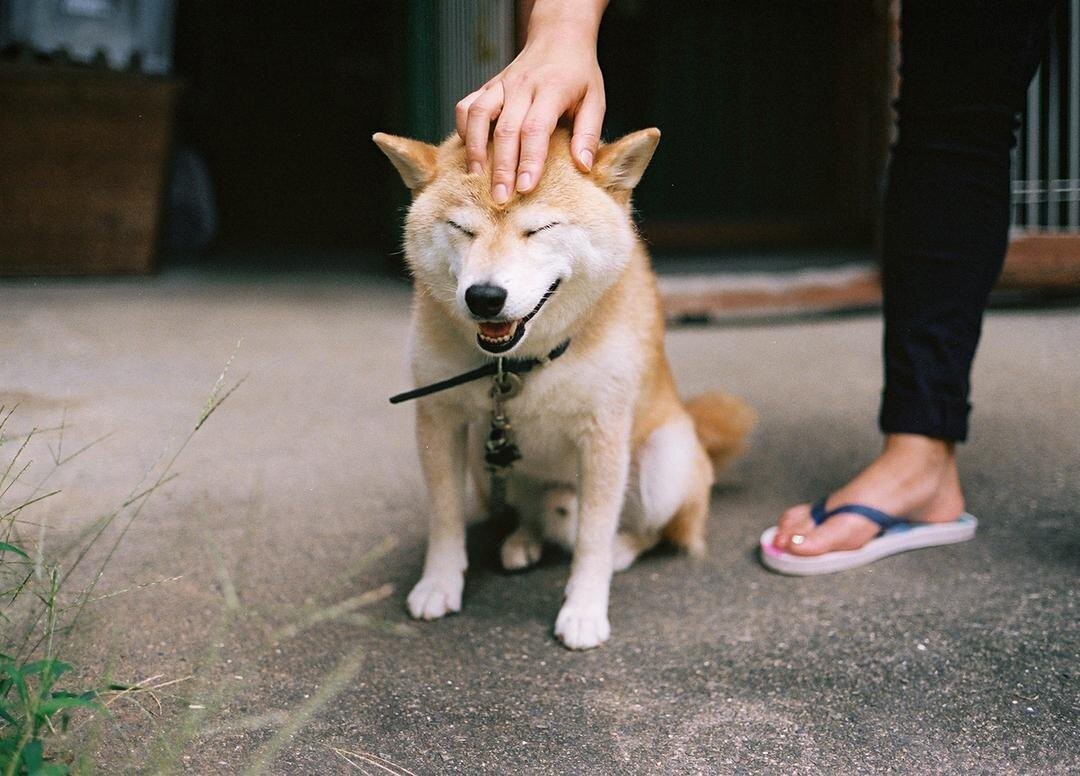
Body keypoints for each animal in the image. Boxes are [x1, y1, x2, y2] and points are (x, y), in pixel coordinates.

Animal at [375, 127, 756, 647]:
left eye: (540, 229)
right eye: (461, 228)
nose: (484, 297)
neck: (517, 364)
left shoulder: (603, 435)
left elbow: (593, 538)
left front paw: (584, 610)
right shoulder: (441, 420)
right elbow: (445, 516)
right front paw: (439, 584)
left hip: (666, 463)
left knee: (654, 532)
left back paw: (621, 550)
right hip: (483, 457)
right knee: (530, 510)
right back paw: (524, 540)